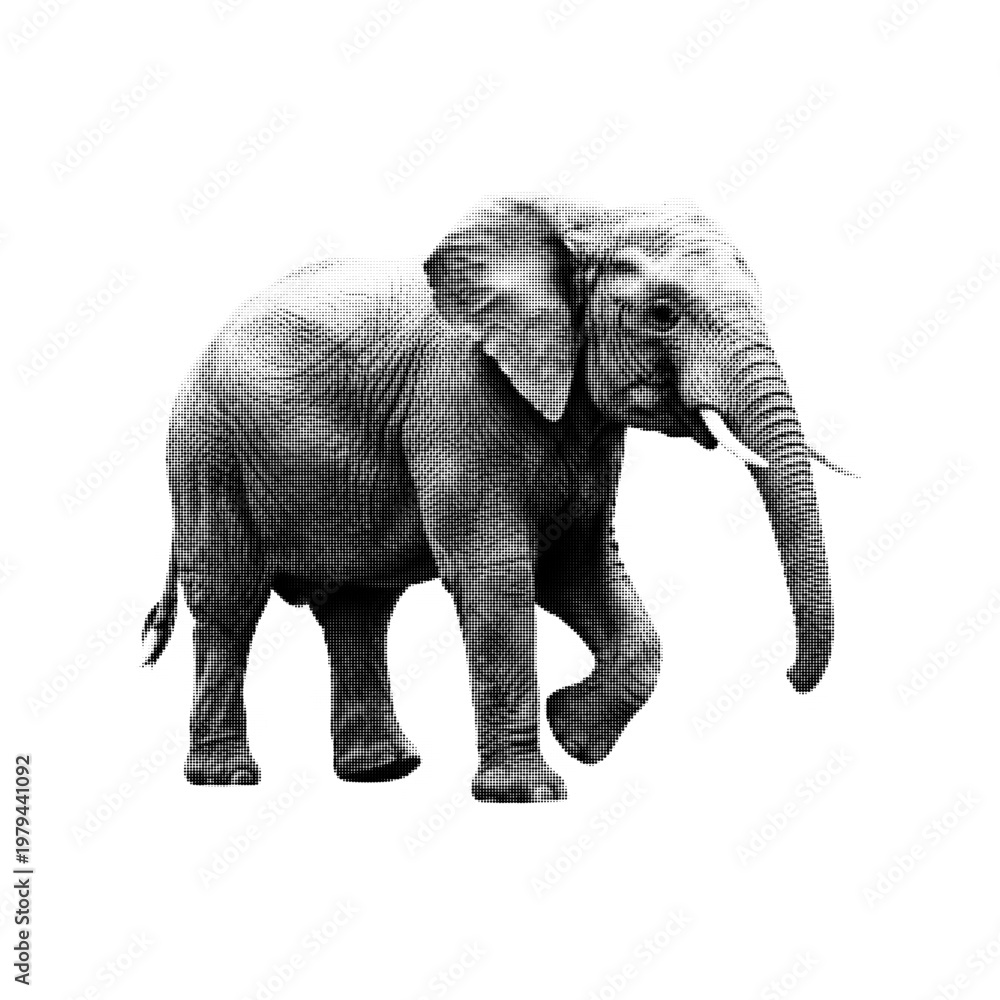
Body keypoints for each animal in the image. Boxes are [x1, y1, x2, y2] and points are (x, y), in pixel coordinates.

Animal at [142, 194, 841, 803]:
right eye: (664, 312)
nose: (789, 679)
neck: (581, 217)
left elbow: (578, 569)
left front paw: (575, 737)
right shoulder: (458, 404)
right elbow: (496, 573)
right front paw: (530, 794)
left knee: (358, 609)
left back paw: (384, 772)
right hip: (205, 452)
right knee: (230, 601)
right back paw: (227, 780)